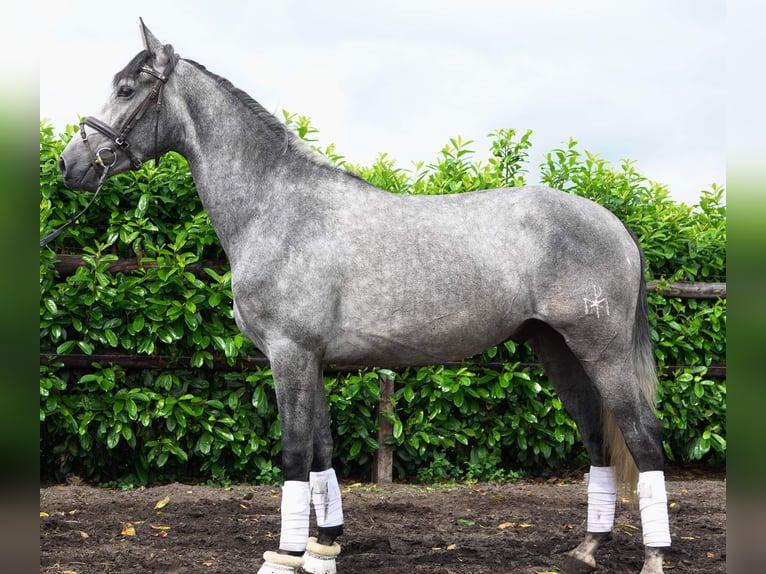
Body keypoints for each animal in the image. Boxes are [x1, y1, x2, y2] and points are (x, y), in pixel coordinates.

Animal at [55, 20, 671, 574]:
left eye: (127, 90)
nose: (69, 164)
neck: (278, 205)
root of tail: (616, 225)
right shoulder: (311, 360)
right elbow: (322, 454)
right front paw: (323, 548)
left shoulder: (289, 355)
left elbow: (294, 455)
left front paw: (285, 557)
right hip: (558, 350)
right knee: (597, 436)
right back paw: (586, 550)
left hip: (602, 351)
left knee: (644, 439)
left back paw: (654, 558)